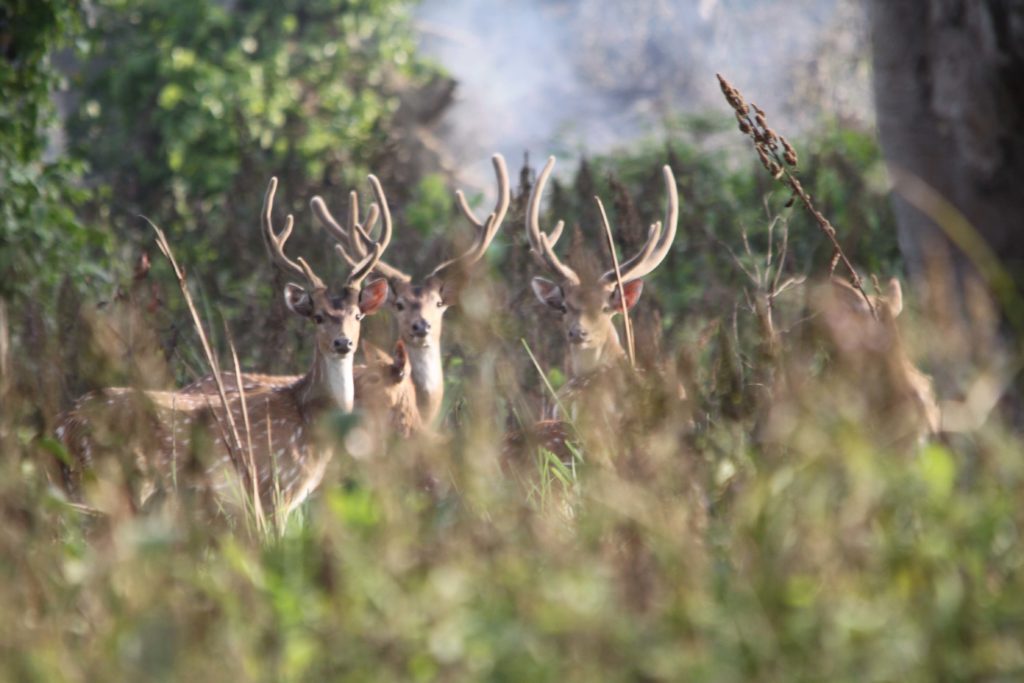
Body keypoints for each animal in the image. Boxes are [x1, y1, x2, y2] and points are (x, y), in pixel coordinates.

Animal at [56, 176, 391, 518]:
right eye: (318, 316)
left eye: (358, 315)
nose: (343, 342)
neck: (310, 421)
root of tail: (64, 427)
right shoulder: (272, 487)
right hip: (113, 482)